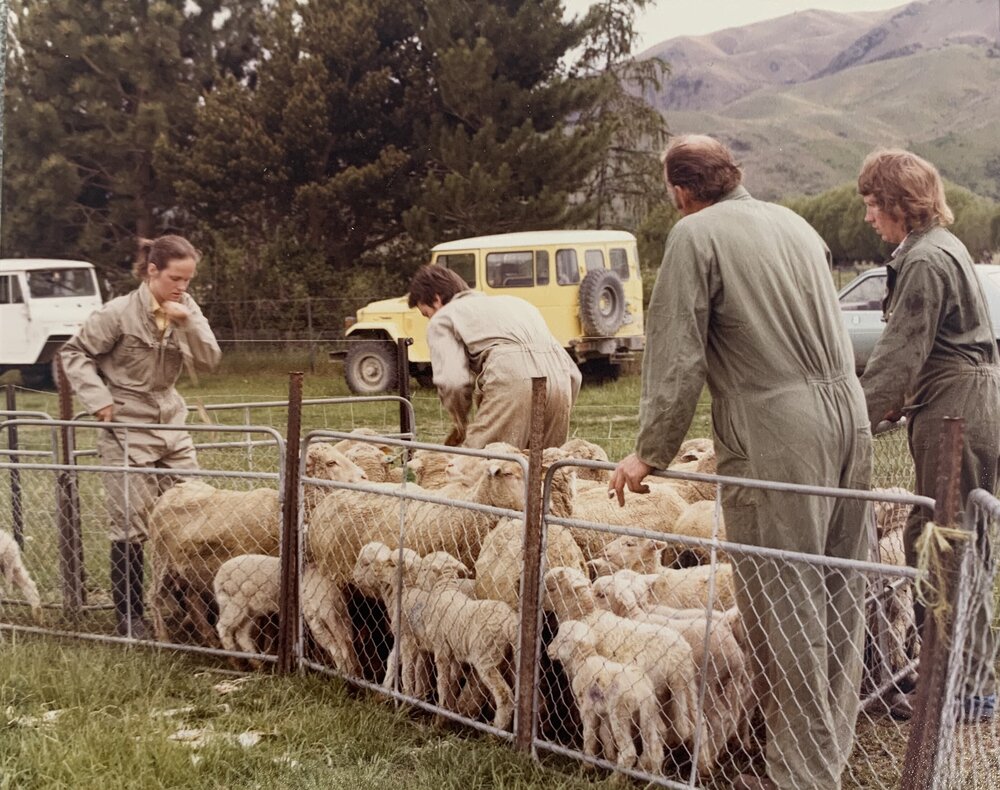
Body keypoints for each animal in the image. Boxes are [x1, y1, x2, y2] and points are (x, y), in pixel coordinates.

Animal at [212, 553, 360, 674]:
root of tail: (218, 579)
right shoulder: (321, 613)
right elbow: (337, 645)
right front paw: (346, 672)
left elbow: (344, 641)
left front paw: (350, 670)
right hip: (236, 603)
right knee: (223, 627)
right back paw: (236, 660)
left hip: (251, 610)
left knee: (241, 634)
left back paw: (257, 665)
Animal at [542, 566, 701, 757]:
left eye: (551, 588)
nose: (541, 606)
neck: (585, 615)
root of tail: (681, 657)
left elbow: (603, 731)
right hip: (686, 689)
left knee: (662, 730)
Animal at [547, 619, 666, 774]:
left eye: (563, 639)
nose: (548, 650)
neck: (584, 659)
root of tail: (643, 690)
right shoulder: (603, 710)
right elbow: (604, 733)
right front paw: (610, 758)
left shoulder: (587, 707)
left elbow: (589, 734)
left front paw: (587, 765)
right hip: (648, 713)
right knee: (656, 747)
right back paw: (653, 777)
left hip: (620, 713)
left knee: (629, 752)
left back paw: (615, 778)